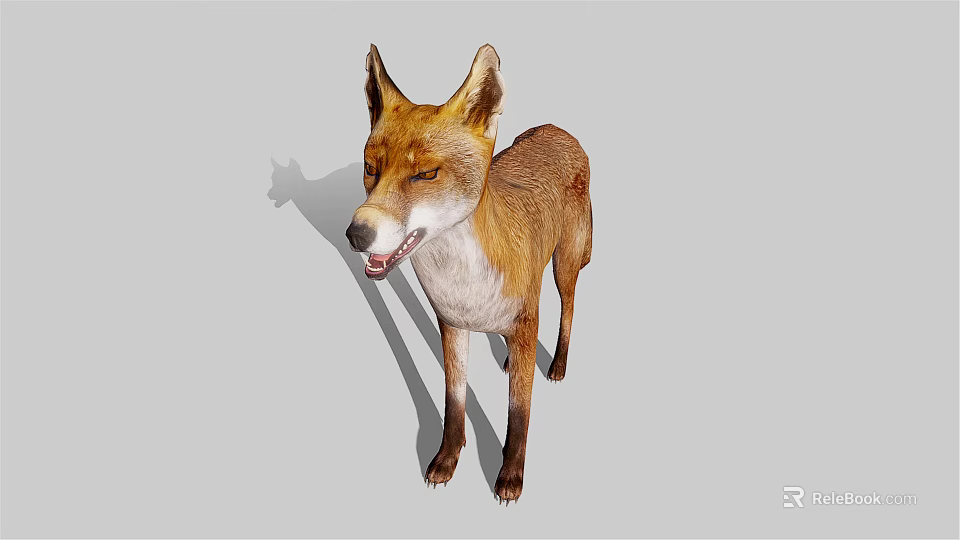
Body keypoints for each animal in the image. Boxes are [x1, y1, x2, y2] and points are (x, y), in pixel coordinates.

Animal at [345, 43, 592, 504]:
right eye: (370, 168)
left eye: (425, 174)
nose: (356, 234)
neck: (463, 282)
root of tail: (557, 128)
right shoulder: (451, 325)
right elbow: (454, 402)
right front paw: (447, 457)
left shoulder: (522, 316)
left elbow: (519, 413)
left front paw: (510, 476)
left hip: (564, 265)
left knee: (567, 309)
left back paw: (558, 364)